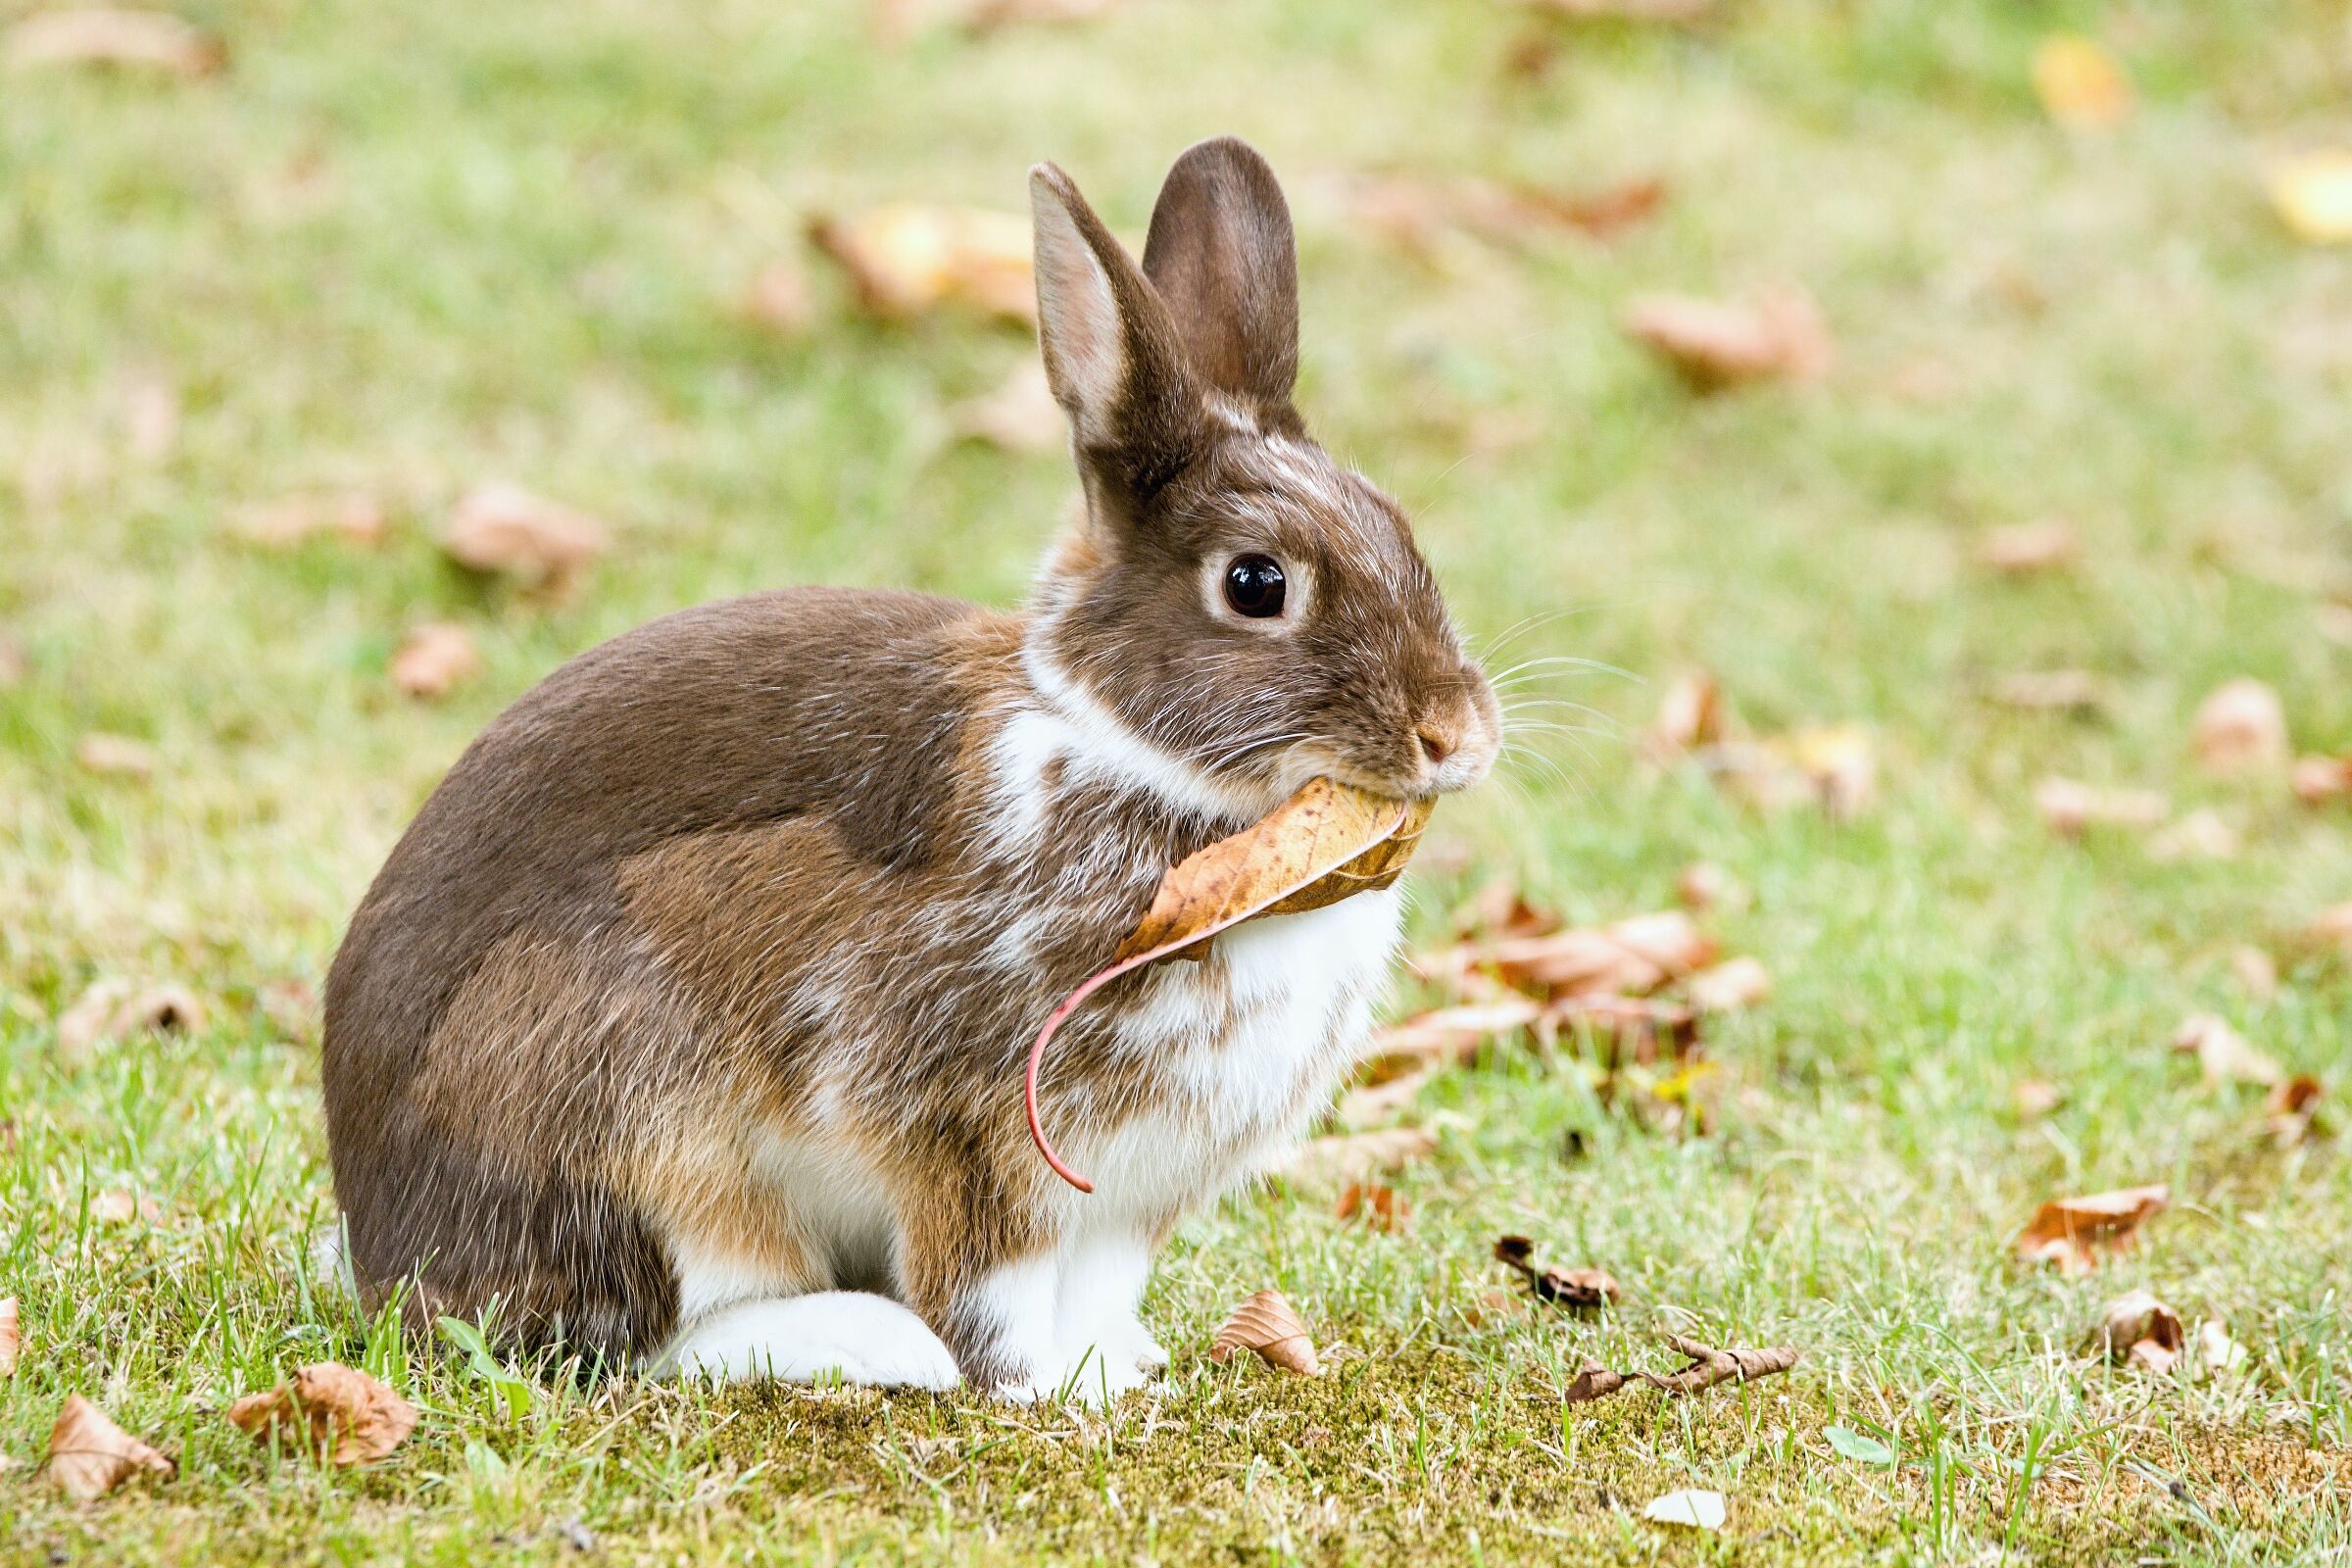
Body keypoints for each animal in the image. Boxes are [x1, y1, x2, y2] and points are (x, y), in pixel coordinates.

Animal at [321, 136, 1500, 1402]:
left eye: (1402, 529)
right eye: (1256, 583)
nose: (1455, 733)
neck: (1142, 761)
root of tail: (386, 1245)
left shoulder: (1124, 1199)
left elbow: (1102, 1284)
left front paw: (1120, 1374)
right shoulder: (970, 1133)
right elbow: (992, 1285)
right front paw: (1041, 1391)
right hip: (625, 1117)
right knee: (637, 1330)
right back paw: (869, 1343)